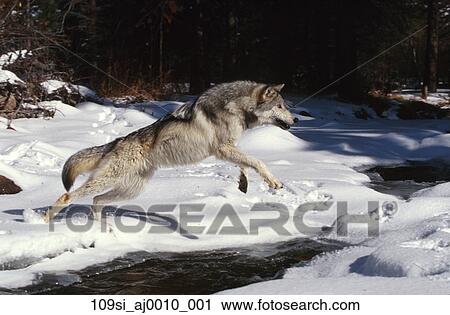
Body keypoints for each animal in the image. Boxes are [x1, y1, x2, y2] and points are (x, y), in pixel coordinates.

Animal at [44, 81, 298, 222]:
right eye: (280, 106)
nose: (295, 119)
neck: (236, 108)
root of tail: (116, 142)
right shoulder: (222, 148)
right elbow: (257, 162)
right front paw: (273, 182)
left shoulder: (228, 149)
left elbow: (245, 163)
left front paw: (243, 183)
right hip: (109, 181)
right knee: (68, 196)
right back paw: (46, 221)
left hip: (130, 190)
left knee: (96, 201)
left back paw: (102, 230)